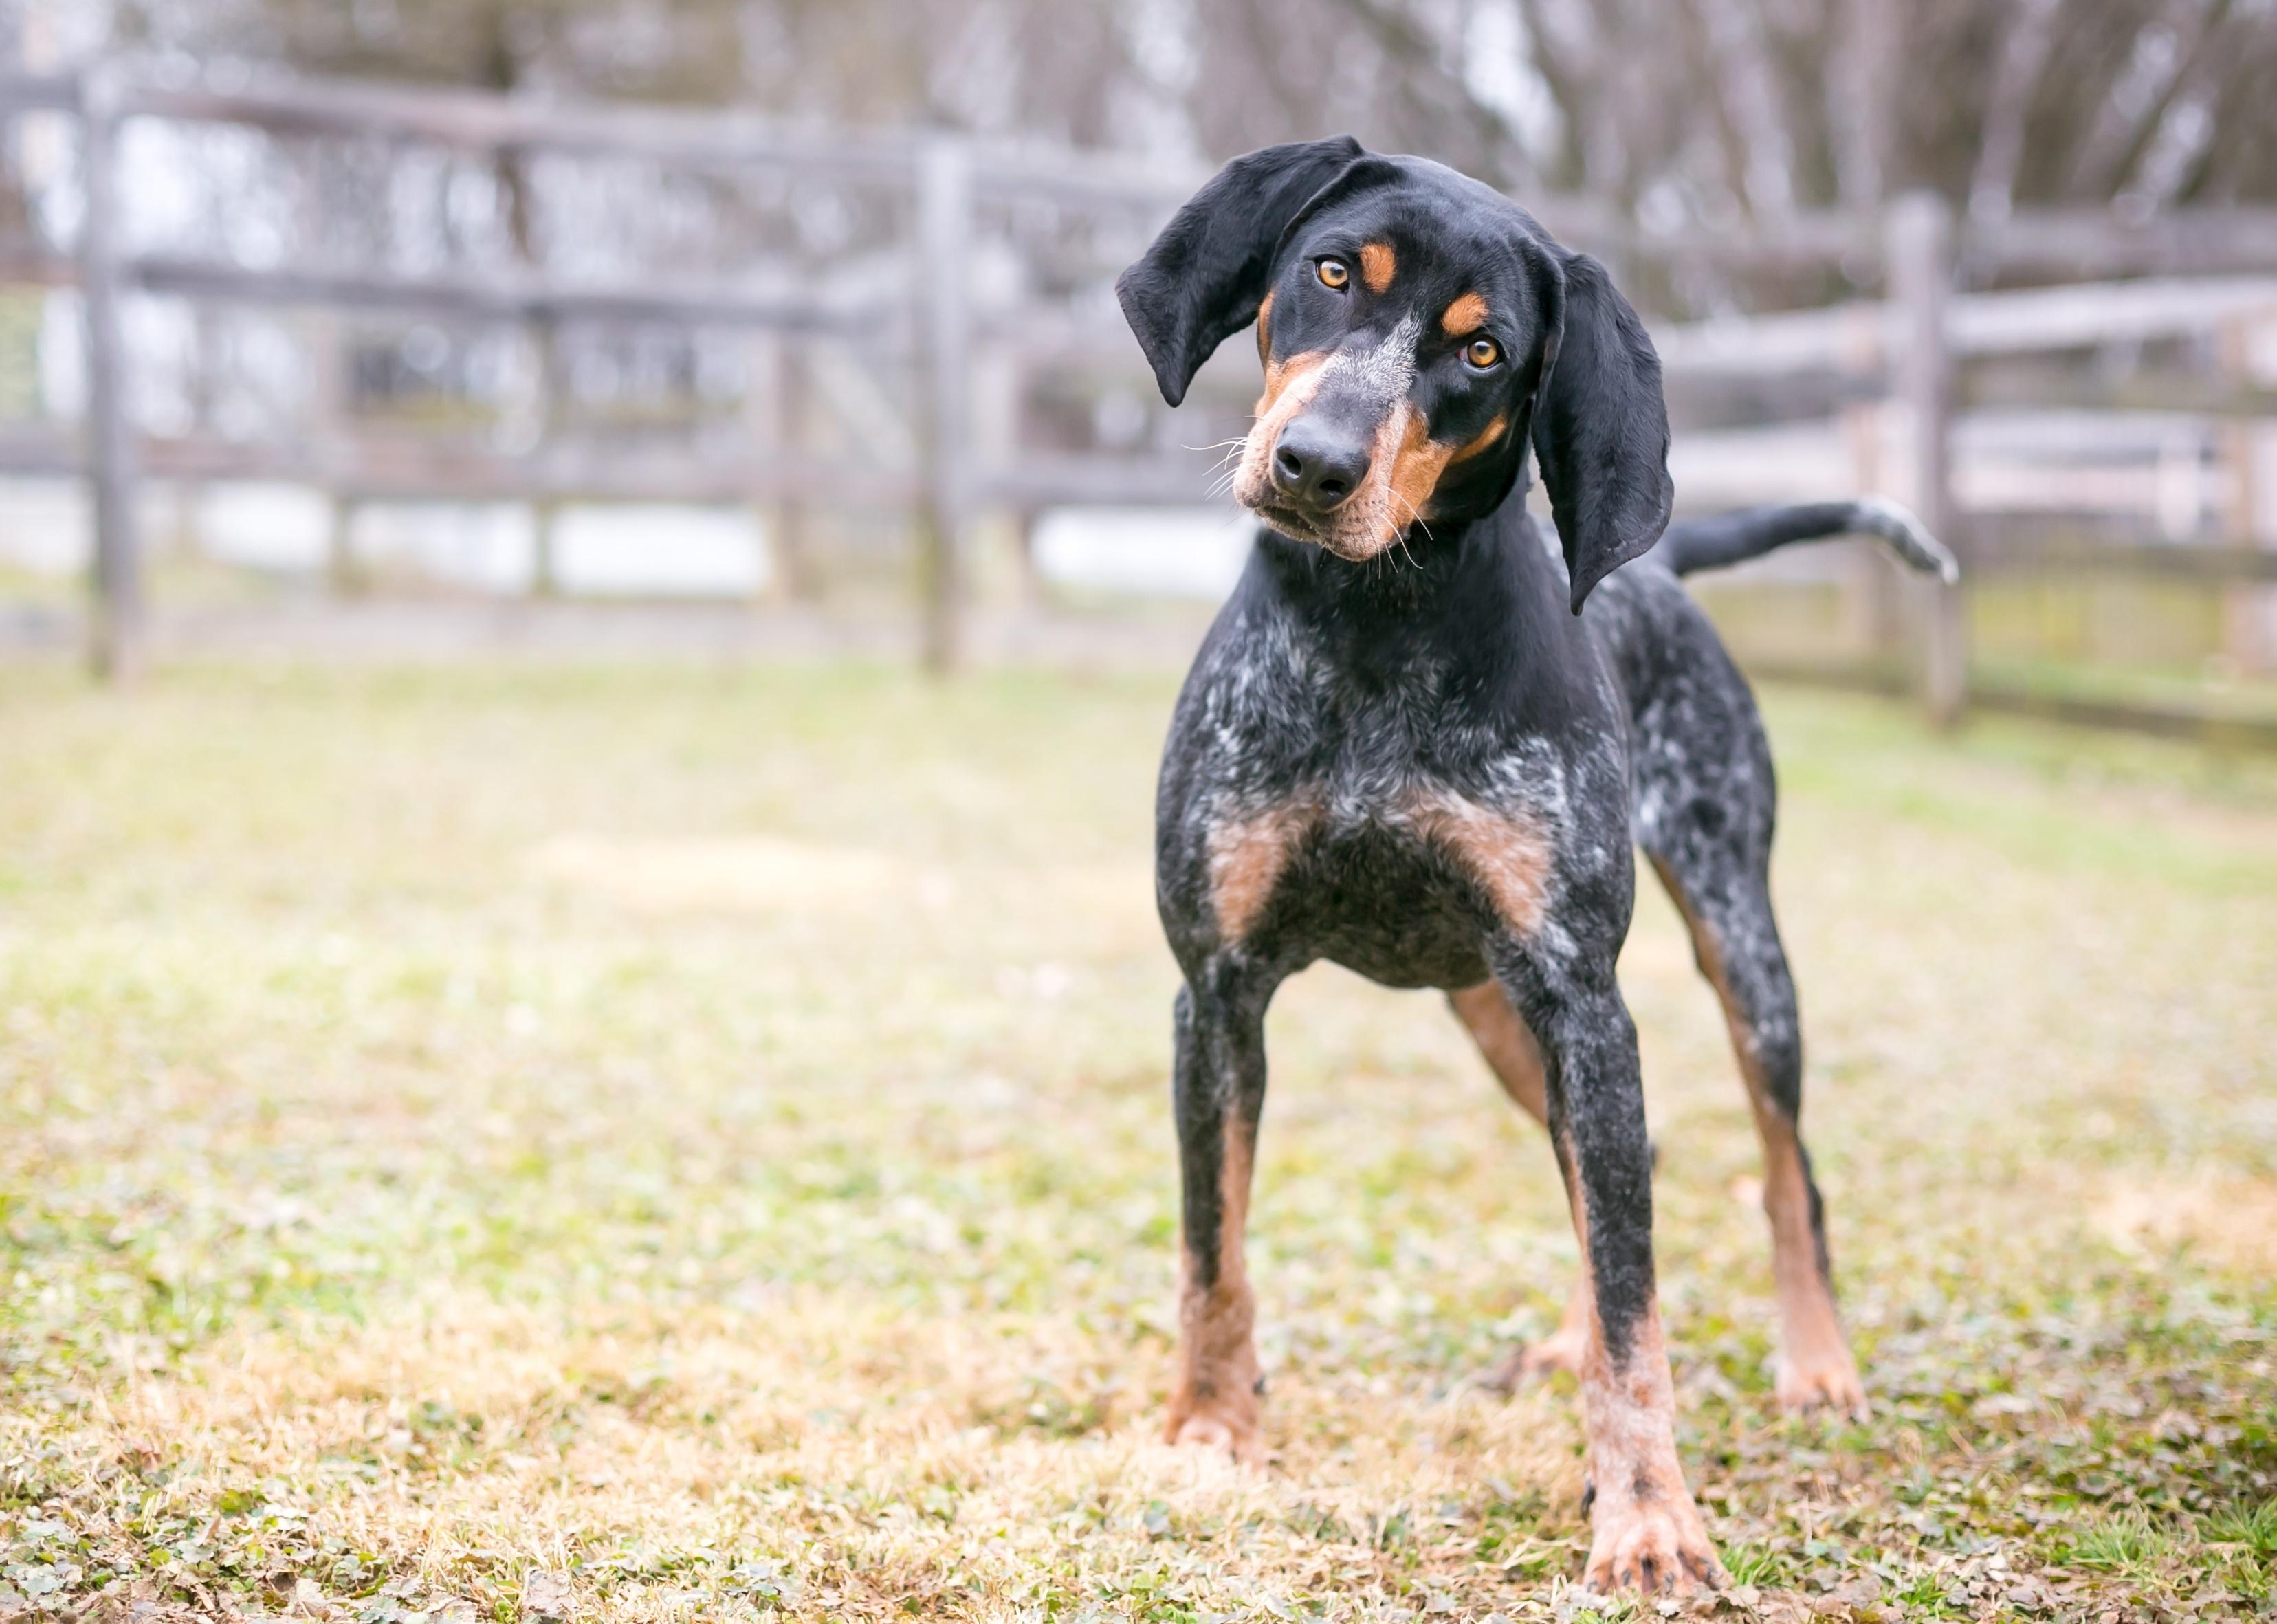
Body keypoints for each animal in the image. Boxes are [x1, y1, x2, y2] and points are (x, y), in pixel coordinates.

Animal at [1111, 133, 1949, 1594]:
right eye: (1331, 273)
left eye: (1484, 350)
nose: (1314, 463)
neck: (1370, 629)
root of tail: (1662, 565)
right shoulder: (1214, 996)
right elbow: (1214, 1252)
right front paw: (1210, 1431)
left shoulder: (1582, 997)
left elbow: (1636, 1303)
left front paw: (1649, 1514)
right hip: (1493, 1012)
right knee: (1629, 1166)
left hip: (1734, 953)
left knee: (1778, 1171)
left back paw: (1816, 1361)